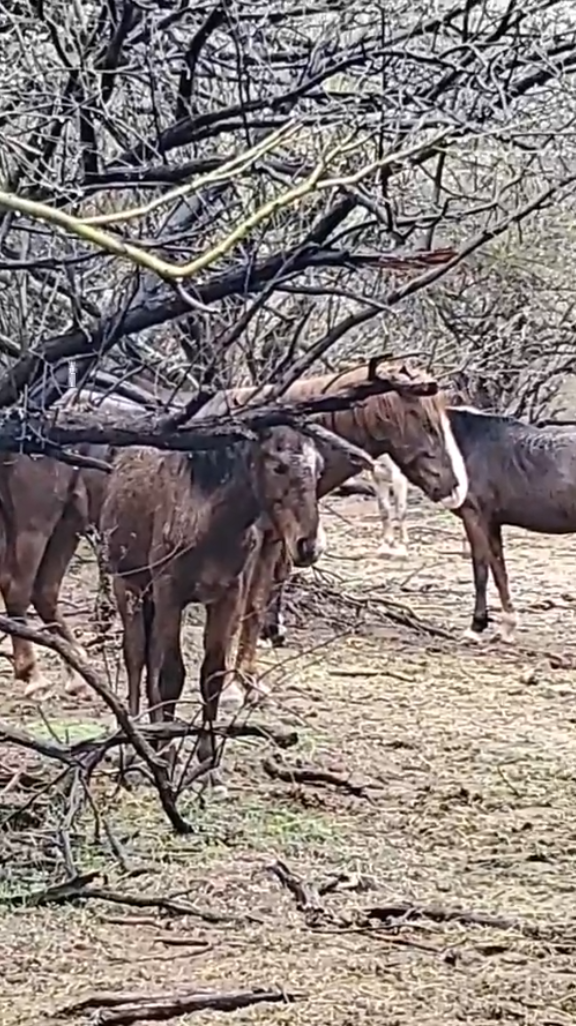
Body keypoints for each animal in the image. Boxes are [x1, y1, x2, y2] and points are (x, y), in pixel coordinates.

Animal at [99, 425, 324, 788]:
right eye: (278, 466)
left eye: (319, 469)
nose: (308, 546)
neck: (212, 520)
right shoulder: (170, 593)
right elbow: (171, 675)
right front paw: (165, 755)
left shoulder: (227, 597)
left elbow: (211, 674)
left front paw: (206, 763)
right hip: (129, 586)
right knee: (135, 658)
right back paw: (134, 748)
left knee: (149, 661)